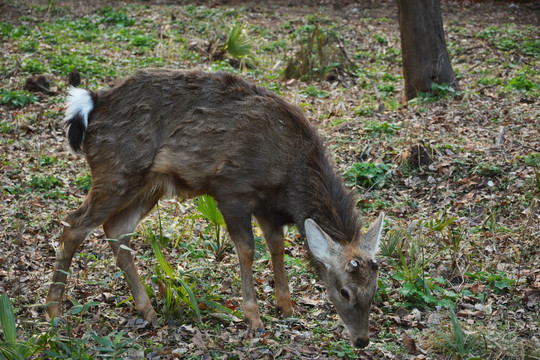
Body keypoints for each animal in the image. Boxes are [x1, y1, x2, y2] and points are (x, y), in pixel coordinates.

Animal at [45, 68, 384, 348]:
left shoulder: (268, 207)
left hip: (149, 184)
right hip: (116, 171)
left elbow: (276, 246)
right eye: (344, 291)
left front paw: (286, 306)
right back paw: (54, 312)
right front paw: (254, 318)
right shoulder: (233, 190)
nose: (362, 341)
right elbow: (247, 249)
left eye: (374, 290)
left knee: (115, 229)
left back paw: (149, 310)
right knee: (74, 224)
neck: (291, 174)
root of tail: (92, 104)